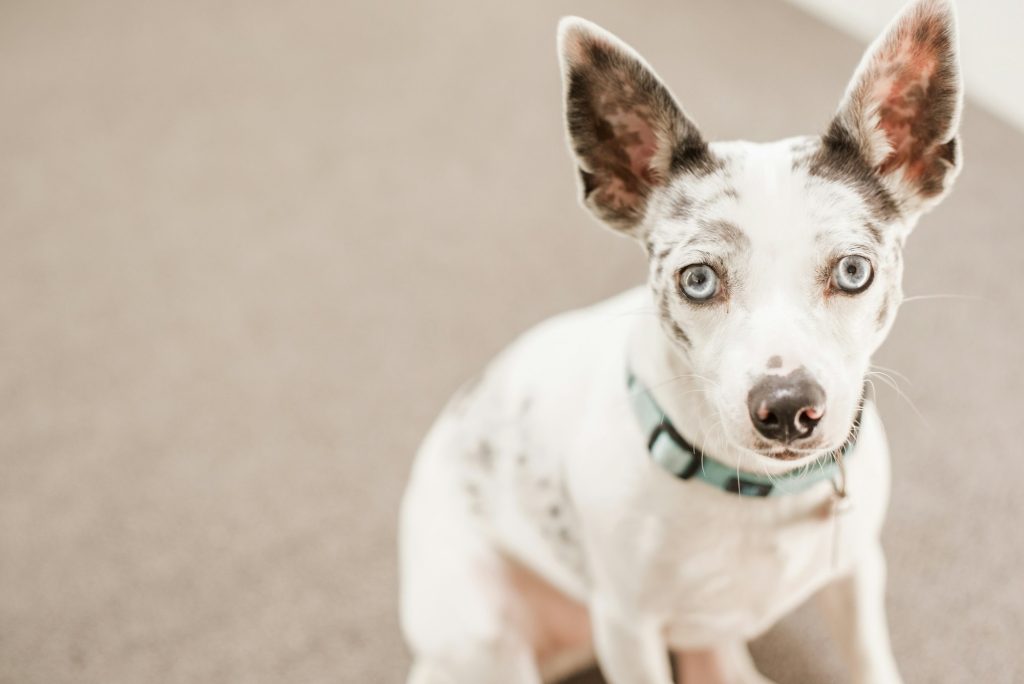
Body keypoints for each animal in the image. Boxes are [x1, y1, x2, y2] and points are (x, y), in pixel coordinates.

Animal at [397, 2, 958, 679]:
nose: (788, 406)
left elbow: (870, 660)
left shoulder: (855, 574)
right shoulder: (628, 630)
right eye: (698, 279)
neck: (754, 494)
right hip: (486, 637)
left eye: (853, 271)